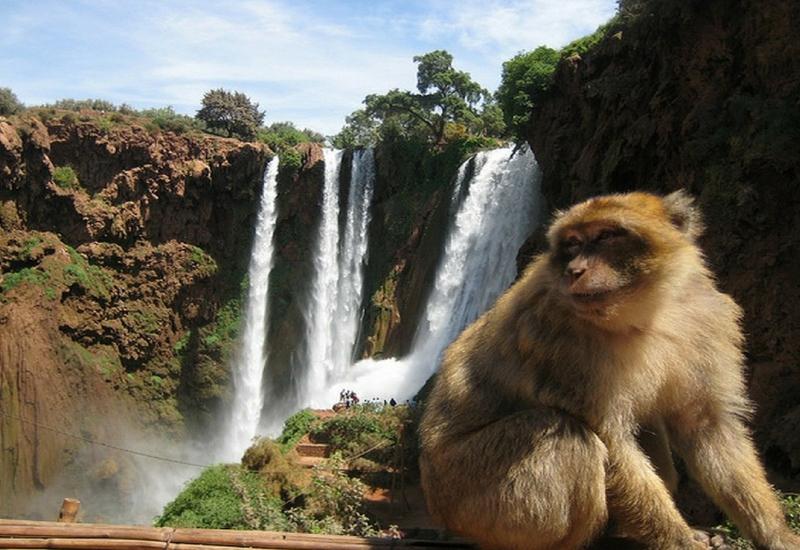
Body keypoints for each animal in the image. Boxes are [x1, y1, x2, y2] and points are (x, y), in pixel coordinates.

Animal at [418, 193, 800, 550]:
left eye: (605, 236)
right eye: (573, 243)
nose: (575, 270)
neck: (643, 312)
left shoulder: (706, 319)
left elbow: (706, 425)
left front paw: (776, 534)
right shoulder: (560, 341)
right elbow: (611, 440)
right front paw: (678, 540)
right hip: (473, 495)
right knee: (564, 434)